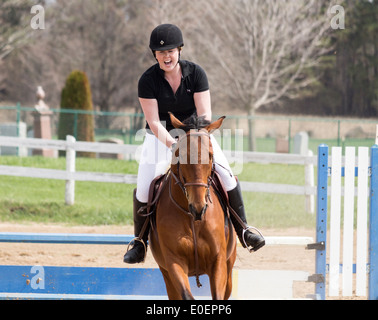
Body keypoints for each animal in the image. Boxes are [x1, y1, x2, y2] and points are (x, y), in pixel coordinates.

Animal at [148, 113, 235, 300]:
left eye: (210, 155)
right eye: (181, 155)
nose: (198, 208)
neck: (192, 218)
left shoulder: (218, 261)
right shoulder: (174, 262)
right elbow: (186, 295)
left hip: (229, 268)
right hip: (166, 275)